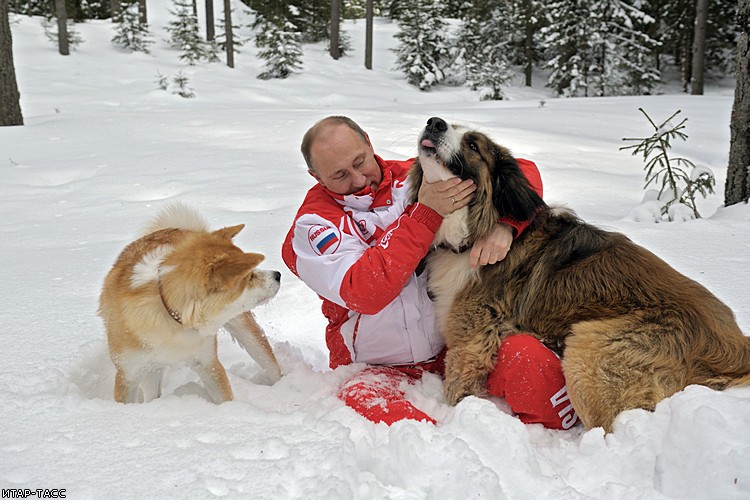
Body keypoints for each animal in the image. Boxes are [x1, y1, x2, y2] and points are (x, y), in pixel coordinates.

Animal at [100, 203, 282, 402]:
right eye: (249, 276)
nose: (278, 275)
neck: (172, 319)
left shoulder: (208, 363)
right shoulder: (128, 375)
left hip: (245, 331)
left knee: (269, 362)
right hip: (150, 369)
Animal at [412, 117, 750, 434]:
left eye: (473, 145)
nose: (434, 122)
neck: (472, 231)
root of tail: (735, 345)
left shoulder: (469, 341)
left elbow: (457, 389)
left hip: (590, 351)